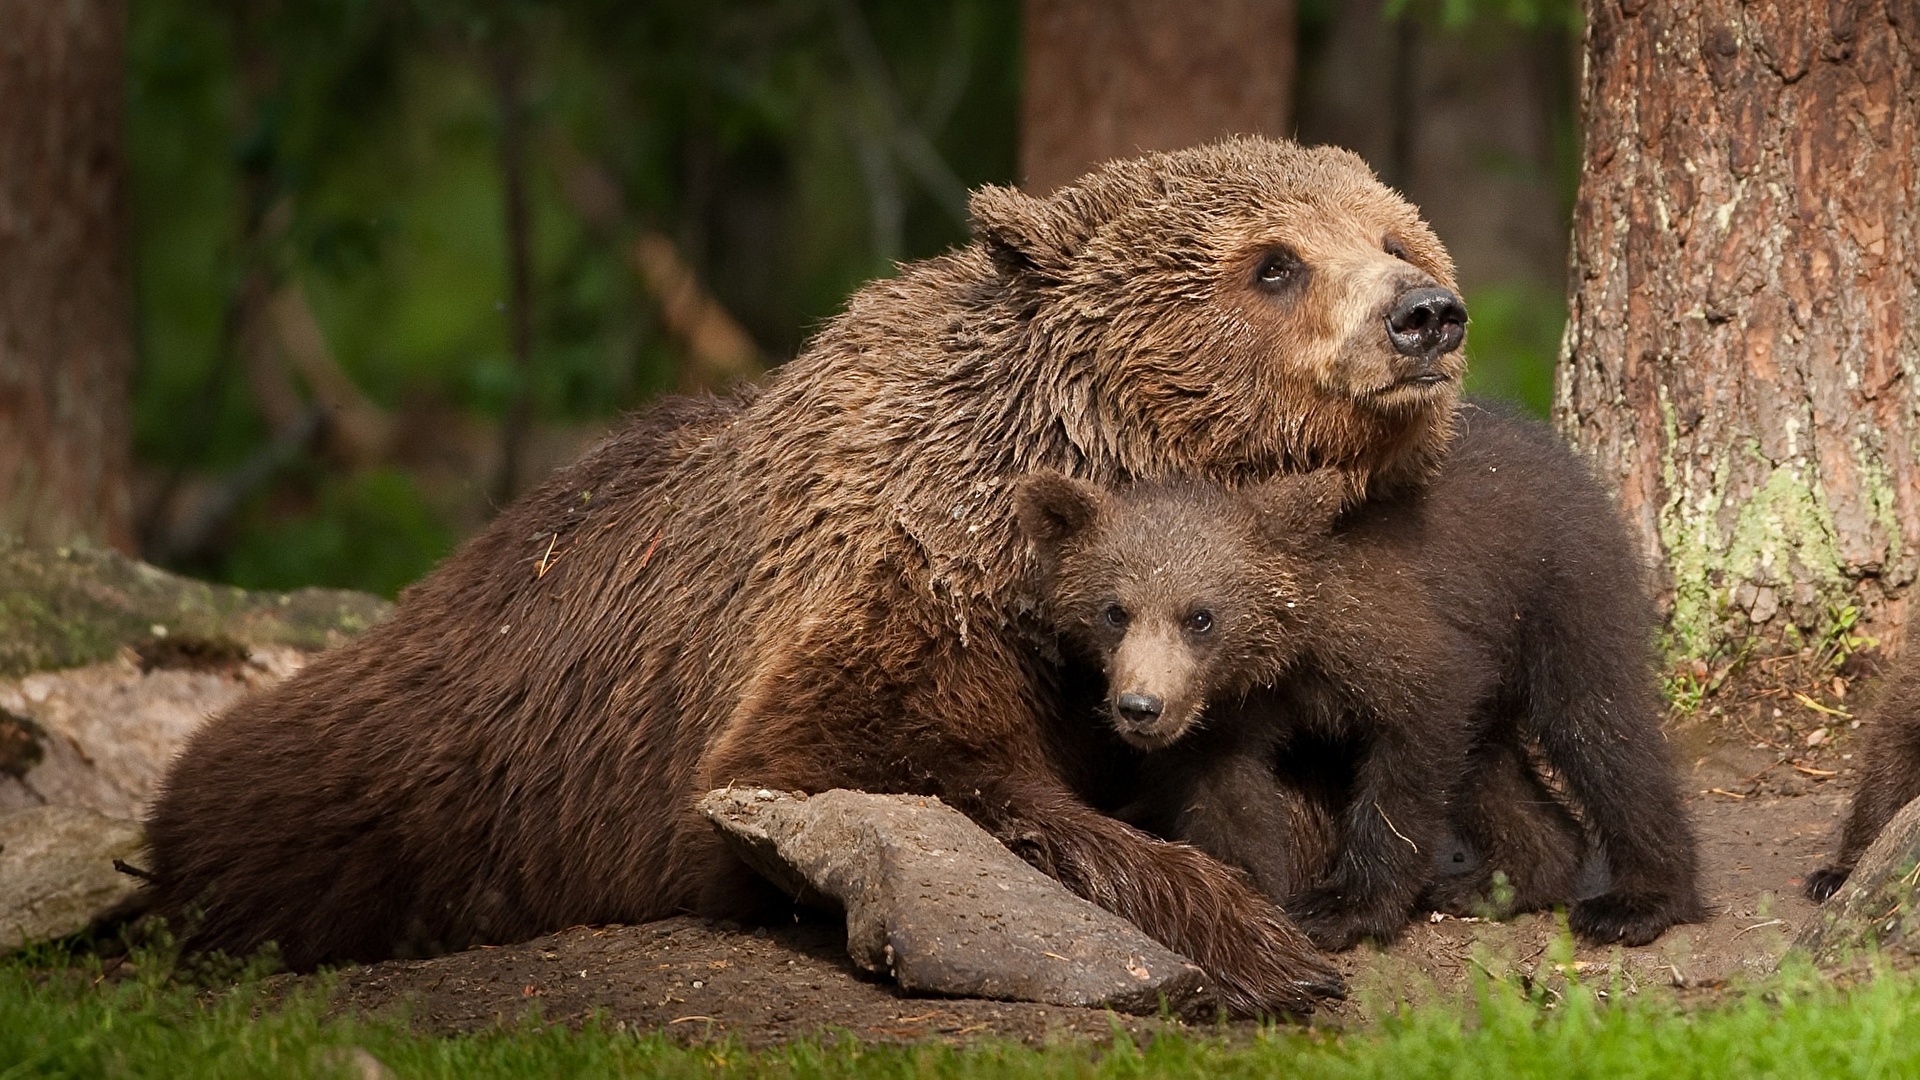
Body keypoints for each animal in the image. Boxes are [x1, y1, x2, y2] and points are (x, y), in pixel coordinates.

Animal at [149, 136, 1459, 1014]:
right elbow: (864, 767)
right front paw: (1258, 944)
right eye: (1274, 264)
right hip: (418, 768)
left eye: (1394, 234)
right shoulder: (909, 598)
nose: (1427, 313)